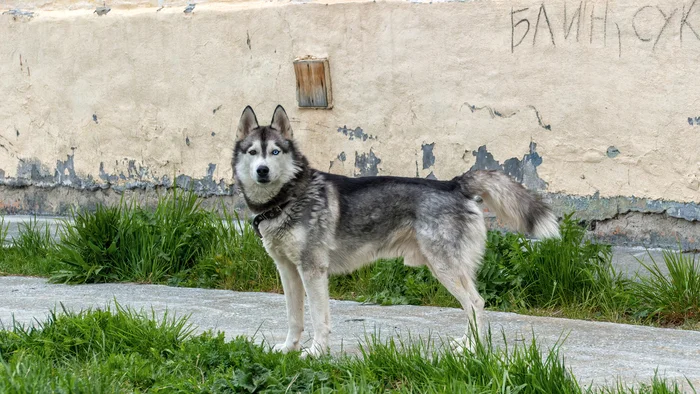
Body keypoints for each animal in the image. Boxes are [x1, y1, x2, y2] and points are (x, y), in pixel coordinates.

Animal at [232, 106, 560, 358]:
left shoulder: (313, 271)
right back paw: (466, 344)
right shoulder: (288, 270)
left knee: (476, 303)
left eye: (275, 152)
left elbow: (318, 319)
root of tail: (454, 183)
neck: (286, 199)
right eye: (253, 152)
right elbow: (294, 318)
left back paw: (473, 350)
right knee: (472, 306)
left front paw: (315, 353)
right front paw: (289, 349)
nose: (262, 170)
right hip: (447, 268)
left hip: (445, 268)